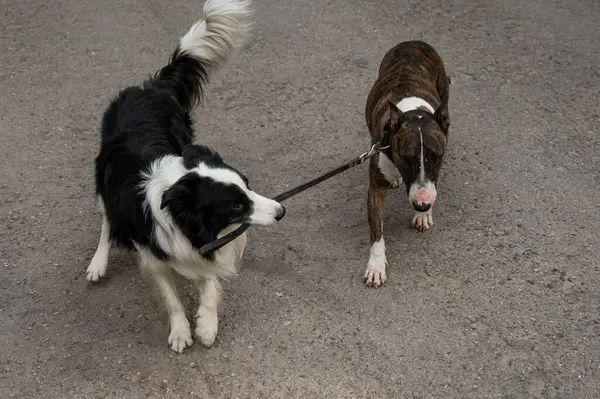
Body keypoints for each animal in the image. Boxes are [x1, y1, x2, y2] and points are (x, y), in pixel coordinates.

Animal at [85, 0, 288, 354]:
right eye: (236, 206)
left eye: (249, 187)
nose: (281, 211)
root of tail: (149, 88)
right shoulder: (153, 252)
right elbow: (172, 299)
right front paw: (181, 331)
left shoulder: (204, 249)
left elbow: (208, 284)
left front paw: (206, 324)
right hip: (103, 177)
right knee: (107, 219)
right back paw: (99, 261)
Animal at [360, 40, 450, 290]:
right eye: (405, 160)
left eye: (437, 158)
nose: (422, 205)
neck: (413, 113)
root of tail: (412, 42)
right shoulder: (375, 187)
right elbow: (376, 231)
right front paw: (376, 266)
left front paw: (424, 216)